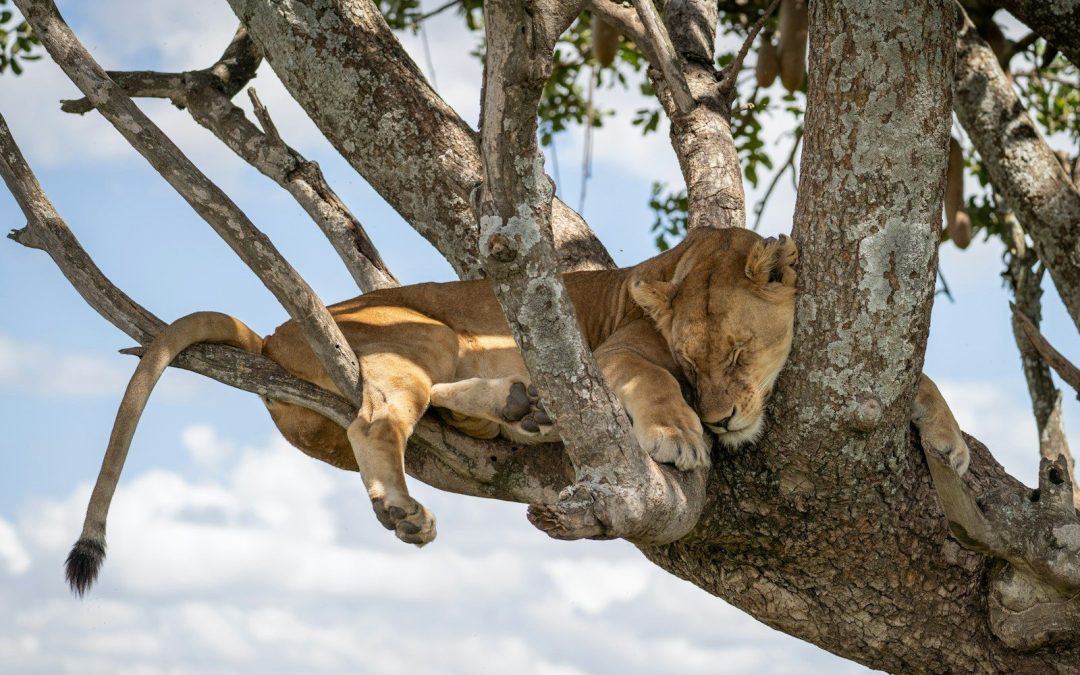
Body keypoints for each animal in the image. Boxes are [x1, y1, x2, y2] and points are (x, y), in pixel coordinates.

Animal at [63, 227, 970, 594]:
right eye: (691, 360)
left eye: (741, 352)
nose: (719, 419)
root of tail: (277, 326)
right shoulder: (619, 354)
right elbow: (650, 386)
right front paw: (678, 436)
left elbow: (921, 380)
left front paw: (951, 440)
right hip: (421, 331)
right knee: (377, 415)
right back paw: (412, 499)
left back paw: (521, 407)